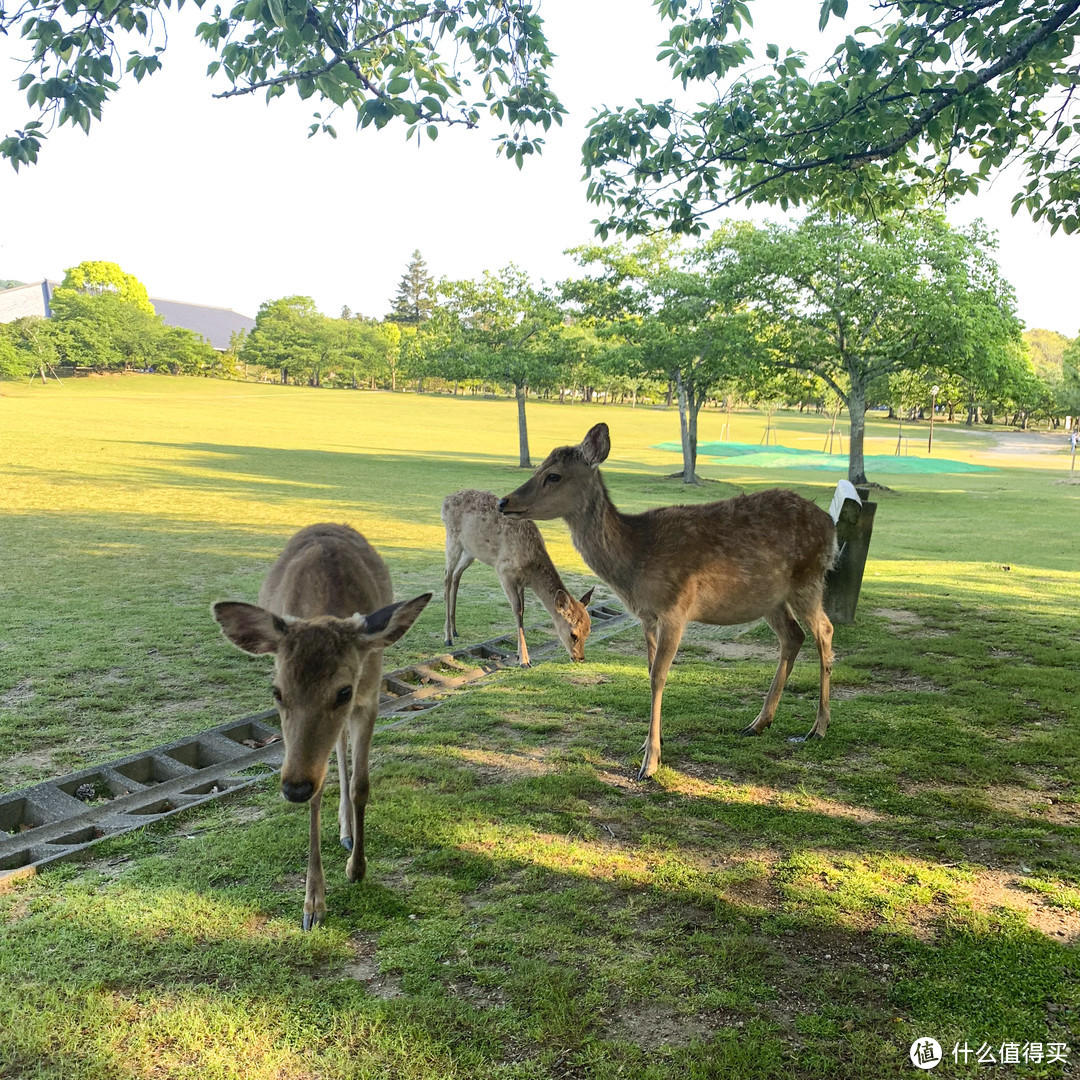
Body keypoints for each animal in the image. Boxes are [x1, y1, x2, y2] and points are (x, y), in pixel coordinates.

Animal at [210, 522, 429, 928]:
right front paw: (312, 904)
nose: (294, 787)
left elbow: (361, 785)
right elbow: (319, 793)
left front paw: (357, 868)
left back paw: (347, 833)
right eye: (277, 692)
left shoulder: (369, 697)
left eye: (343, 690)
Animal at [438, 492, 596, 665]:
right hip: (452, 539)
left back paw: (454, 630)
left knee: (456, 575)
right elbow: (517, 609)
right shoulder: (504, 571)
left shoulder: (521, 583)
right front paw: (525, 660)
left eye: (589, 631)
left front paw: (521, 655)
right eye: (573, 634)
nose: (580, 658)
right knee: (447, 575)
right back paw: (448, 637)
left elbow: (523, 610)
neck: (531, 568)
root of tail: (445, 500)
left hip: (470, 551)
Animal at [501, 419, 838, 777]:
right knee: (794, 635)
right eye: (538, 467)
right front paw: (648, 744)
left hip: (808, 579)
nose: (503, 502)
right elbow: (649, 670)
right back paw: (758, 723)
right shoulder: (647, 616)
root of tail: (830, 526)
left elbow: (658, 676)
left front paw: (650, 763)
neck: (636, 559)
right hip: (769, 598)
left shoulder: (676, 609)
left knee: (824, 631)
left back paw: (818, 727)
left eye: (553, 475)